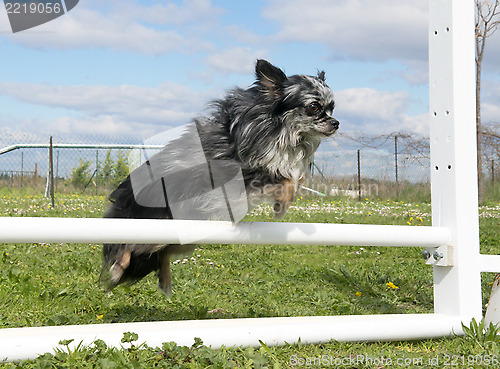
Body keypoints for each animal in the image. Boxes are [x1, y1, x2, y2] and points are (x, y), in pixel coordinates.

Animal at [99, 60, 338, 296]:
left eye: (332, 107)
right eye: (314, 107)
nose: (336, 123)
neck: (281, 132)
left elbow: (295, 179)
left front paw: (283, 203)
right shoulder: (243, 172)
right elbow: (282, 180)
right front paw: (282, 205)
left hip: (182, 235)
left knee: (161, 253)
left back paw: (164, 280)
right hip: (149, 222)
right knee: (127, 246)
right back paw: (118, 268)